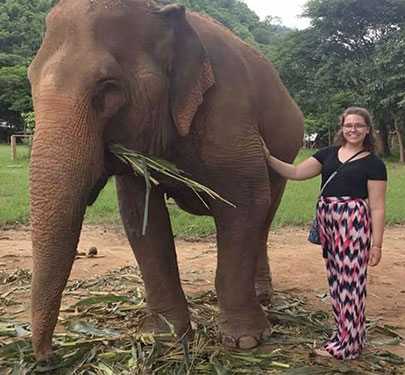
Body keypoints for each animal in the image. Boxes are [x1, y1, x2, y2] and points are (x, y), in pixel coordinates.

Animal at [27, 0, 304, 362]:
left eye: (106, 88)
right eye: (30, 79)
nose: (48, 355)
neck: (159, 10)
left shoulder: (229, 111)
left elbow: (244, 205)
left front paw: (245, 342)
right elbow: (142, 220)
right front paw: (163, 336)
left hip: (286, 152)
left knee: (265, 214)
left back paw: (263, 297)